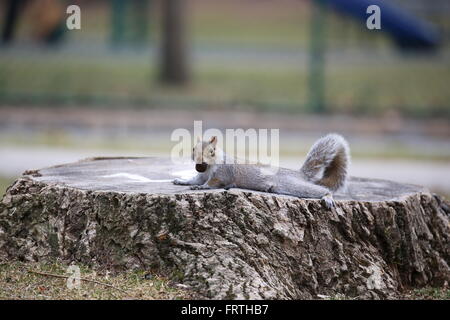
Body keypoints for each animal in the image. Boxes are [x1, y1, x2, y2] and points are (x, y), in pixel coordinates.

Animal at [173, 134, 352, 209]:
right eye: (193, 149)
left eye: (212, 151)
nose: (199, 164)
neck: (209, 168)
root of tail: (299, 174)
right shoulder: (201, 175)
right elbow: (194, 179)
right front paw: (181, 181)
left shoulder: (224, 173)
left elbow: (214, 183)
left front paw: (201, 188)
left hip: (290, 185)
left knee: (319, 190)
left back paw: (327, 197)